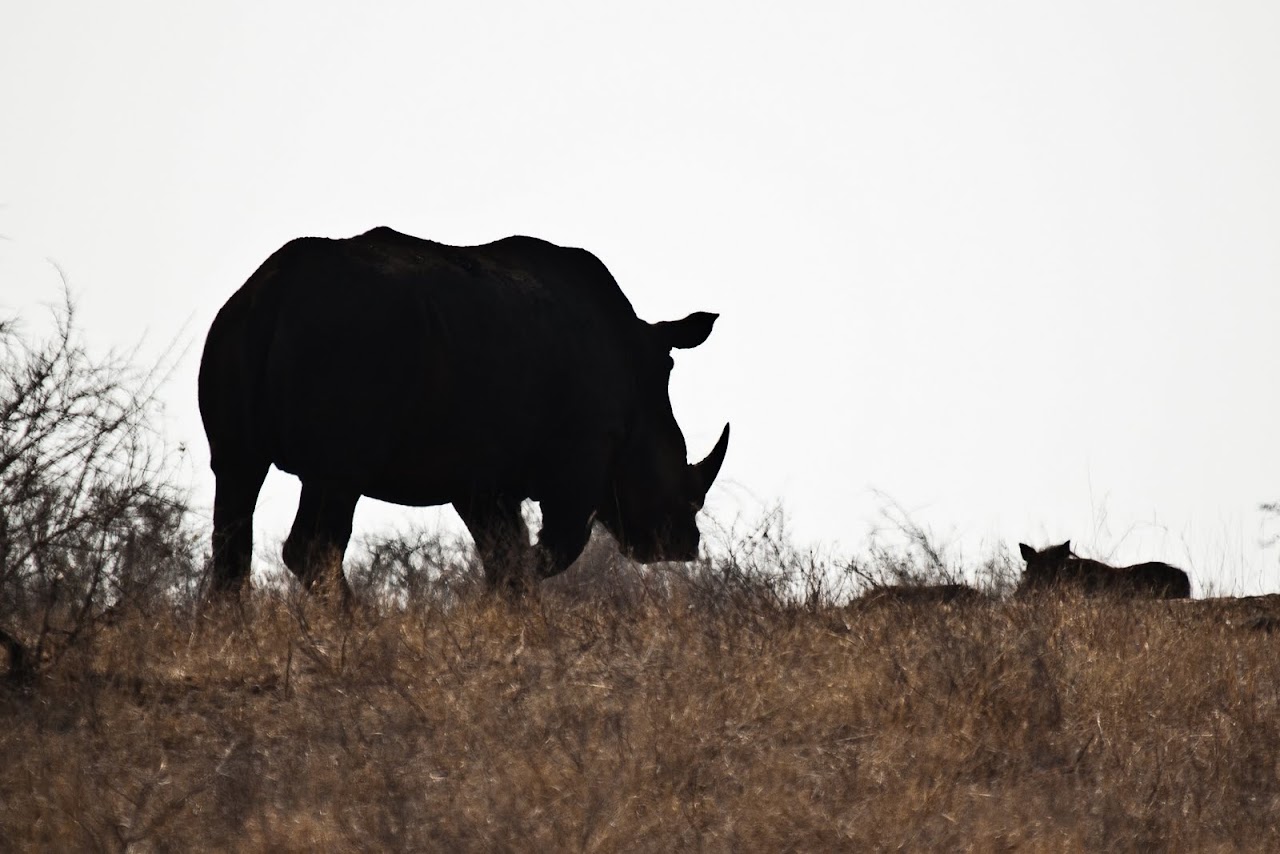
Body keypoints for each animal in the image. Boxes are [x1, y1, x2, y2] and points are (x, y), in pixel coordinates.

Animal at [198, 227, 729, 598]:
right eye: (671, 478)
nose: (680, 546)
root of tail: (271, 295)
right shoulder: (582, 449)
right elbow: (553, 549)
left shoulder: (480, 474)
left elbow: (505, 554)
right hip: (347, 348)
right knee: (329, 496)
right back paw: (363, 631)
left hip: (233, 328)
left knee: (235, 481)